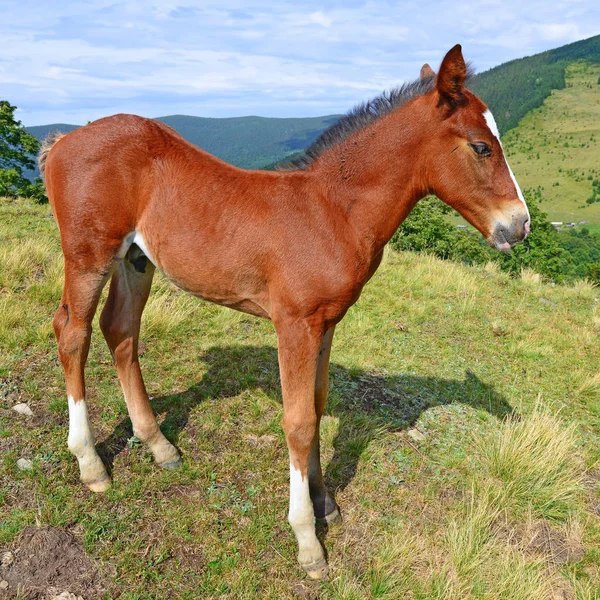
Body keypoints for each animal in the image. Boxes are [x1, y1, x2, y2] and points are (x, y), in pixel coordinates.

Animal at [41, 44, 528, 580]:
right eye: (481, 147)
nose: (519, 225)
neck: (333, 210)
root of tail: (64, 140)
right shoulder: (294, 323)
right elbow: (297, 421)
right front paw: (307, 541)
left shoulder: (327, 322)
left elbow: (316, 405)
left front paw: (325, 502)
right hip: (88, 255)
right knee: (72, 332)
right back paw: (90, 464)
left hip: (135, 260)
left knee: (120, 331)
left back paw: (159, 445)